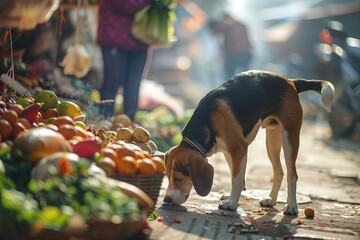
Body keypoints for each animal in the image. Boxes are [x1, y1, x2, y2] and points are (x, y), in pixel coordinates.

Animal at [163, 70, 334, 215]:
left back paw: (292, 206)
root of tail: (291, 81)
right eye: (167, 176)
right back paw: (271, 200)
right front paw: (233, 197)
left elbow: (236, 178)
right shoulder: (229, 151)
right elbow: (236, 175)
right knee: (279, 171)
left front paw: (231, 203)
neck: (207, 121)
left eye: (179, 178)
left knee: (292, 175)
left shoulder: (239, 147)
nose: (166, 200)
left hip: (289, 138)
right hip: (272, 141)